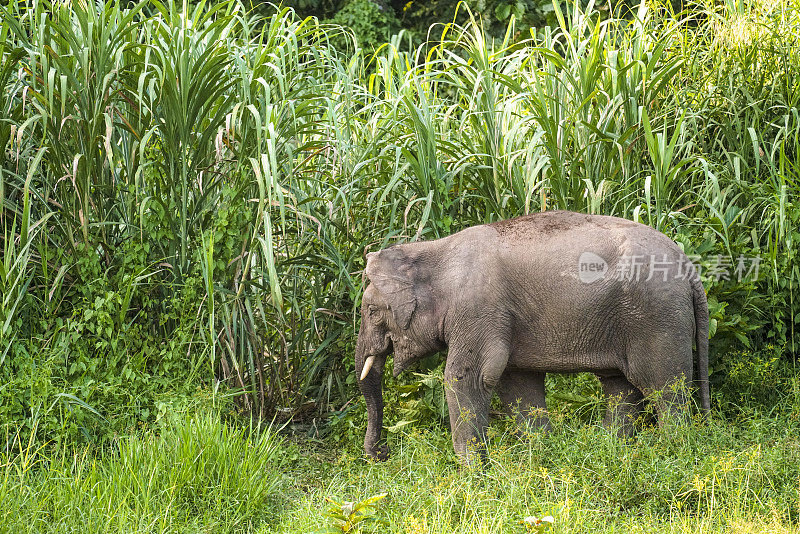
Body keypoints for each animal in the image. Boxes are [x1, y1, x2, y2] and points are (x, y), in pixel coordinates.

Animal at [354, 211, 708, 462]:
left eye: (371, 310)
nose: (382, 454)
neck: (432, 251)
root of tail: (689, 269)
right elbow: (517, 383)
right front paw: (539, 457)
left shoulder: (478, 309)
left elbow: (466, 378)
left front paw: (474, 477)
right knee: (620, 387)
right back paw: (615, 451)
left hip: (656, 317)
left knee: (665, 389)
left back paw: (673, 453)